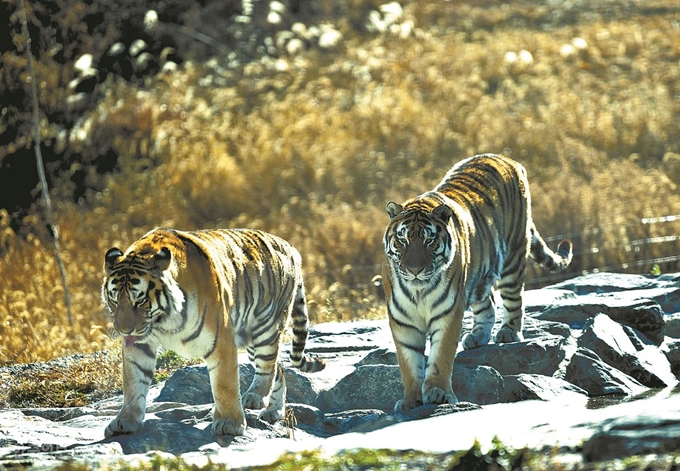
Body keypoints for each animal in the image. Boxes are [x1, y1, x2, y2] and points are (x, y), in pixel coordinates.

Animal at [101, 227, 324, 436]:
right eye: (114, 299)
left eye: (139, 300)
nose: (123, 330)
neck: (164, 321)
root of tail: (290, 246)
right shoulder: (140, 344)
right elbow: (134, 382)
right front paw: (125, 420)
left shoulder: (221, 340)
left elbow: (225, 384)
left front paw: (229, 423)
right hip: (251, 338)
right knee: (279, 368)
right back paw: (273, 411)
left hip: (265, 329)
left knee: (268, 367)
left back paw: (255, 397)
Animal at [386, 154, 572, 412]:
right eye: (402, 240)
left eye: (429, 241)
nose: (414, 270)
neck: (418, 291)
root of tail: (506, 157)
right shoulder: (403, 322)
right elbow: (409, 364)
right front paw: (410, 400)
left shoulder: (448, 314)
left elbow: (440, 356)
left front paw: (439, 393)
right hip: (481, 275)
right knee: (488, 303)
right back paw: (478, 336)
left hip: (513, 257)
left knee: (514, 300)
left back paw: (508, 333)